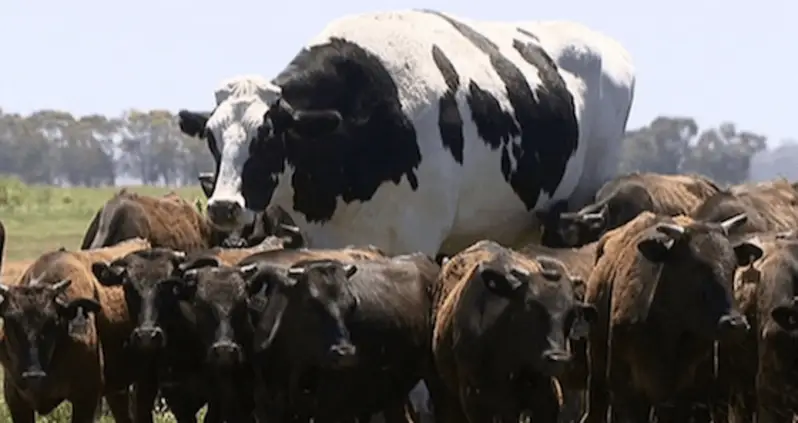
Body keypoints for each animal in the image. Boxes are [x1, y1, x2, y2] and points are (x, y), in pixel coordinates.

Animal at [580, 212, 764, 423]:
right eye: (693, 269)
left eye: (733, 267)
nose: (735, 323)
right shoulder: (627, 393)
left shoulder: (689, 399)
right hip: (597, 368)